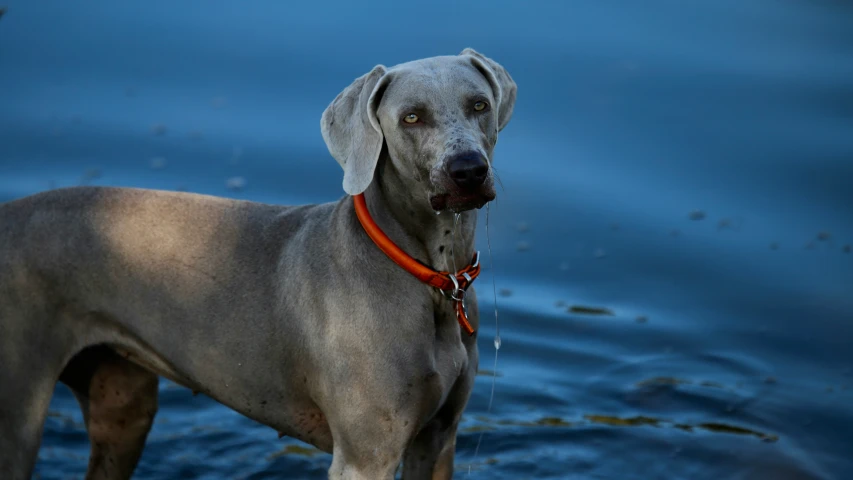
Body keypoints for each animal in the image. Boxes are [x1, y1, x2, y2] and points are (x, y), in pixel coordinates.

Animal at [0, 49, 516, 480]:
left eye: (478, 105)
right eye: (412, 117)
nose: (468, 170)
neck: (431, 276)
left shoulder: (438, 440)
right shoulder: (365, 456)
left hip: (122, 404)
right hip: (19, 416)